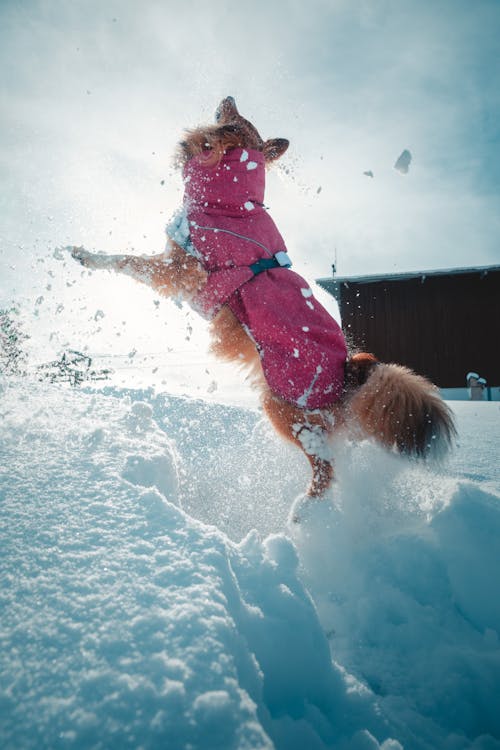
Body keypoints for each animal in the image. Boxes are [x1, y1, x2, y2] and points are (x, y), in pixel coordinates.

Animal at [70, 97, 458, 502]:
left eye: (234, 118)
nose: (228, 97)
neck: (229, 201)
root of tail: (353, 372)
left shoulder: (183, 271)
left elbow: (126, 261)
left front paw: (86, 256)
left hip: (283, 407)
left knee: (325, 469)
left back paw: (304, 511)